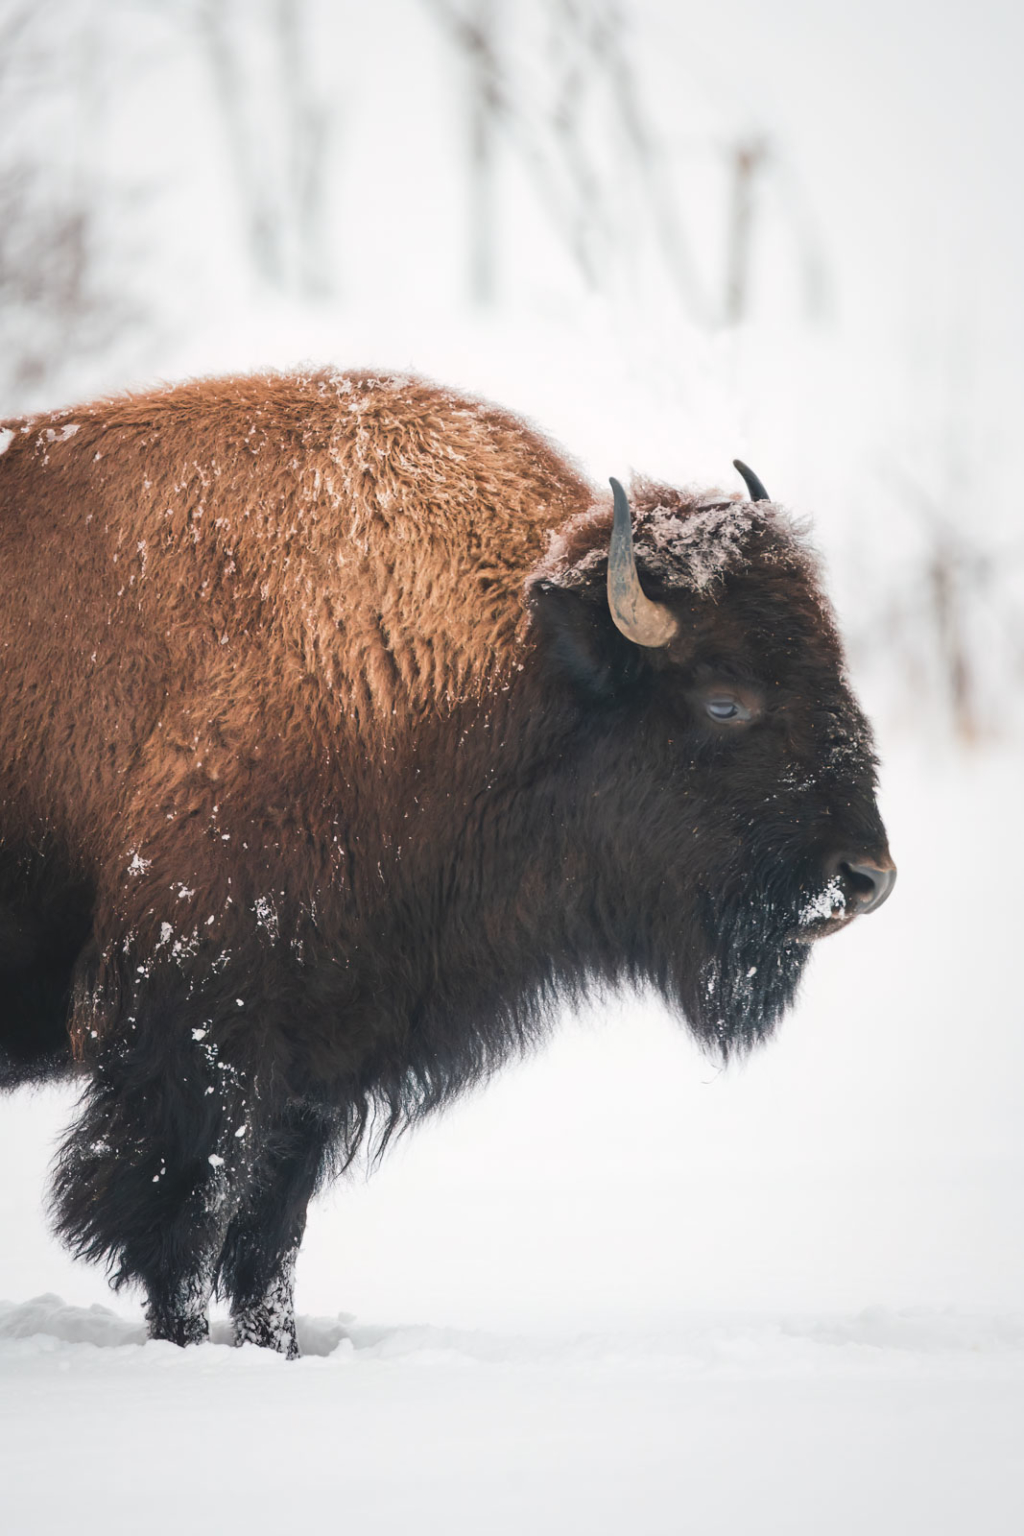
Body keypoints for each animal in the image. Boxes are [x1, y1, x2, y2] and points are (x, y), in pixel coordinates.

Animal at [0, 371, 890, 1357]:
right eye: (725, 700)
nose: (865, 877)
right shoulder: (195, 1037)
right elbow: (186, 1227)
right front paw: (192, 1351)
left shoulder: (314, 1057)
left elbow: (268, 1236)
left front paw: (277, 1350)